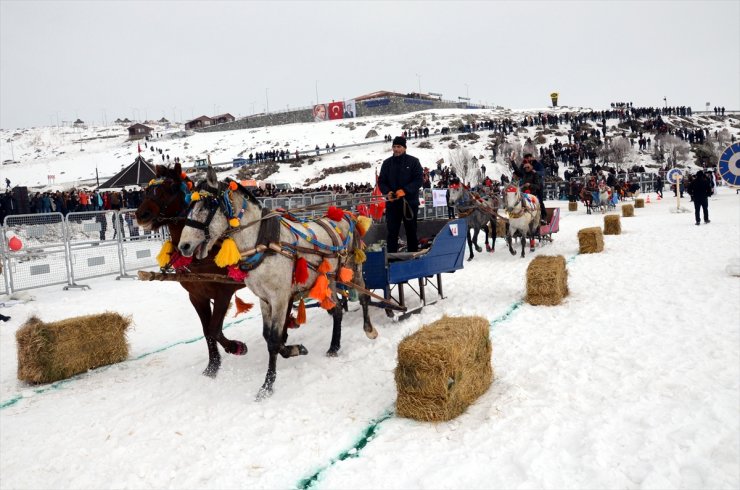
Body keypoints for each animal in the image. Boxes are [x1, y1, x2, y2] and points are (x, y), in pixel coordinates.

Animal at [134, 163, 247, 378]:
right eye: (147, 189)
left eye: (170, 187)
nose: (141, 215)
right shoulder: (196, 296)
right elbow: (207, 331)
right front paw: (212, 367)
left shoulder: (224, 291)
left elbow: (214, 328)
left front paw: (236, 347)